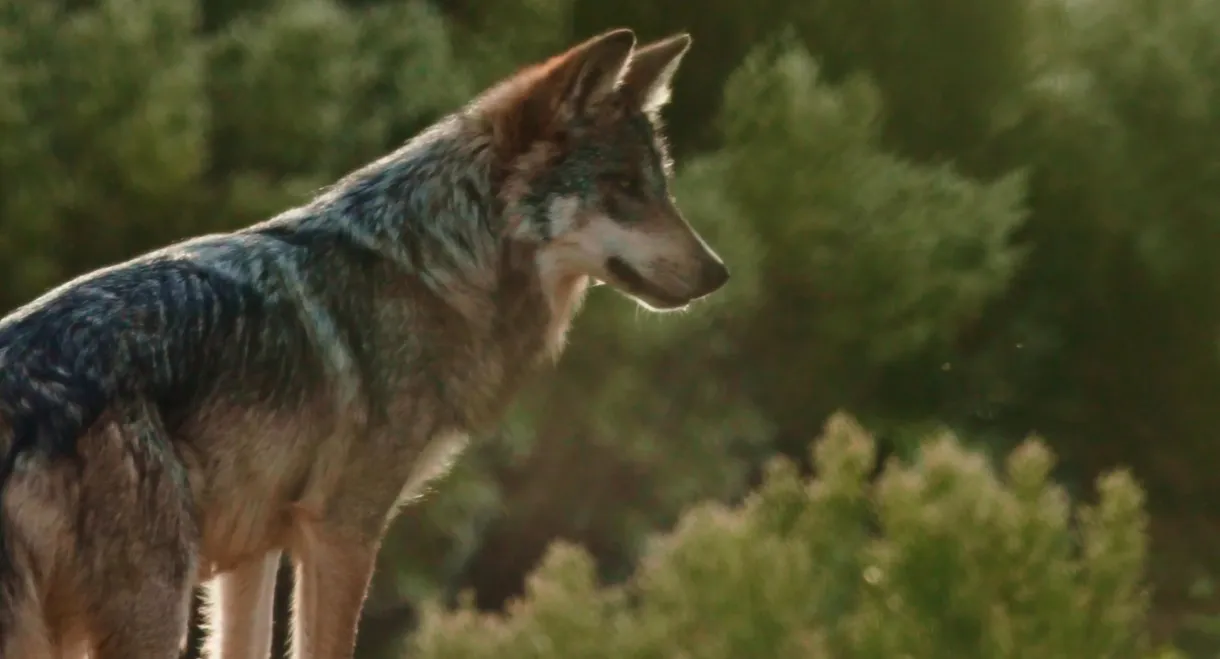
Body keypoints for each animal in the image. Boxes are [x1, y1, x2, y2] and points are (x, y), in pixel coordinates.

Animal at [0, 27, 727, 659]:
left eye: (661, 188)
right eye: (624, 188)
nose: (719, 272)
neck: (434, 265)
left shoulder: (251, 552)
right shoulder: (341, 531)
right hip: (147, 607)